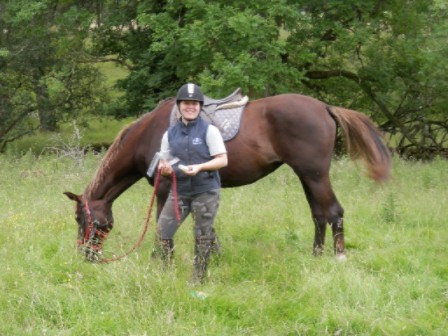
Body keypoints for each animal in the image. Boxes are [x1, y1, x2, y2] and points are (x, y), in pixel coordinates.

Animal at [64, 93, 392, 262]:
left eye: (81, 218)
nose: (86, 255)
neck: (151, 135)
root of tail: (324, 106)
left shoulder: (165, 187)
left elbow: (163, 224)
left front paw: (161, 257)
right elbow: (203, 225)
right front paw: (213, 254)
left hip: (315, 175)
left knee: (334, 212)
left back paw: (337, 258)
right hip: (307, 176)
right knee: (319, 214)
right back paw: (316, 255)